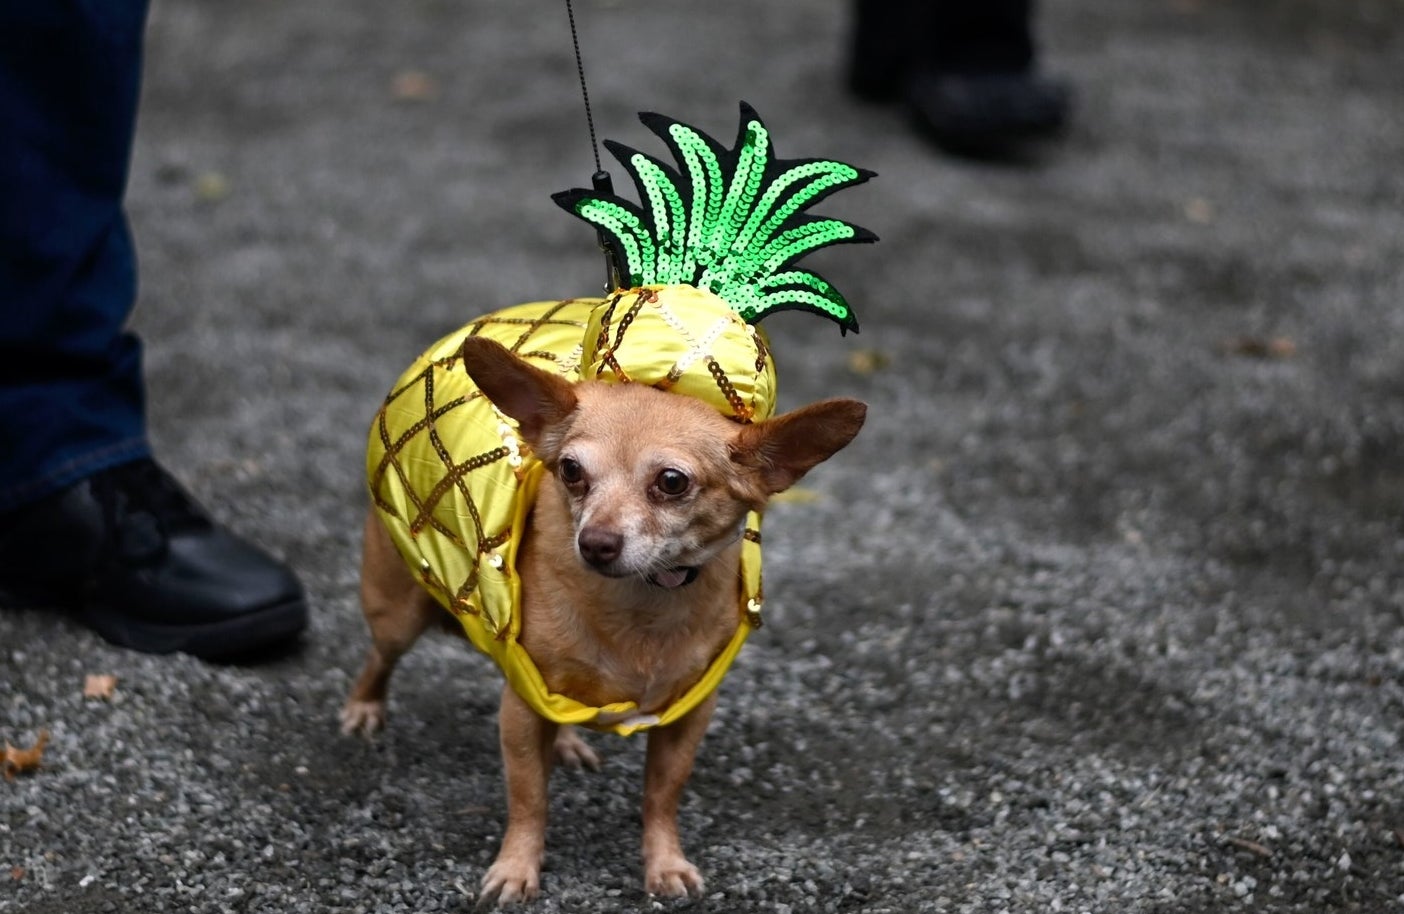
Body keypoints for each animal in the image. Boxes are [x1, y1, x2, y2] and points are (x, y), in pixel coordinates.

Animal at [345, 339, 859, 904]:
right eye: (570, 470)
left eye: (672, 482)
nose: (594, 542)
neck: (643, 603)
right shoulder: (521, 705)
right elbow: (529, 797)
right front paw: (516, 868)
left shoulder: (688, 715)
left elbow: (662, 795)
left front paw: (665, 863)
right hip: (398, 612)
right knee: (379, 656)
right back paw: (363, 708)